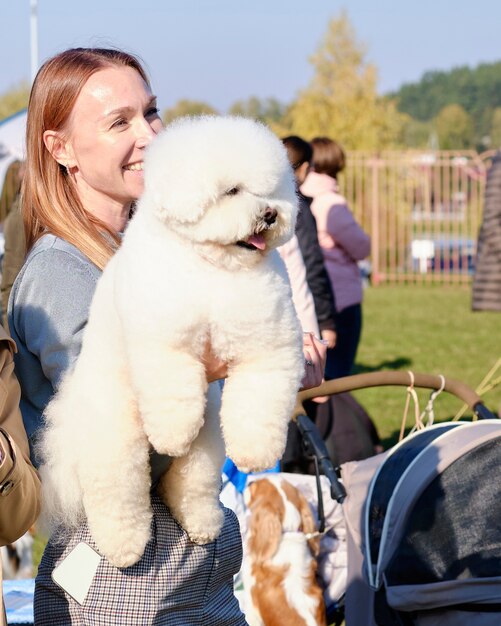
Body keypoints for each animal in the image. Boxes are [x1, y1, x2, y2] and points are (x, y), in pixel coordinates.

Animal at [39, 116, 302, 564]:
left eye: (271, 191)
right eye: (232, 191)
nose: (270, 214)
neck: (212, 266)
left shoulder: (266, 347)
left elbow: (258, 406)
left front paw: (255, 452)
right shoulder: (165, 345)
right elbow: (173, 397)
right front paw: (171, 434)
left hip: (208, 438)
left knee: (190, 482)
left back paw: (201, 522)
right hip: (114, 436)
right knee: (117, 492)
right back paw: (125, 546)